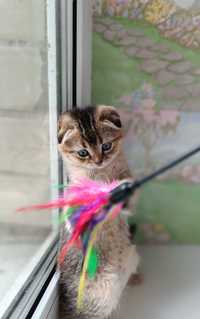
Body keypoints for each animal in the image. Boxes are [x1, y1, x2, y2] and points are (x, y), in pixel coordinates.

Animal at [57, 106, 139, 318]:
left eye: (106, 146)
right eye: (83, 152)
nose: (98, 161)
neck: (101, 174)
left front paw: (119, 189)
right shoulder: (74, 190)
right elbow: (74, 207)